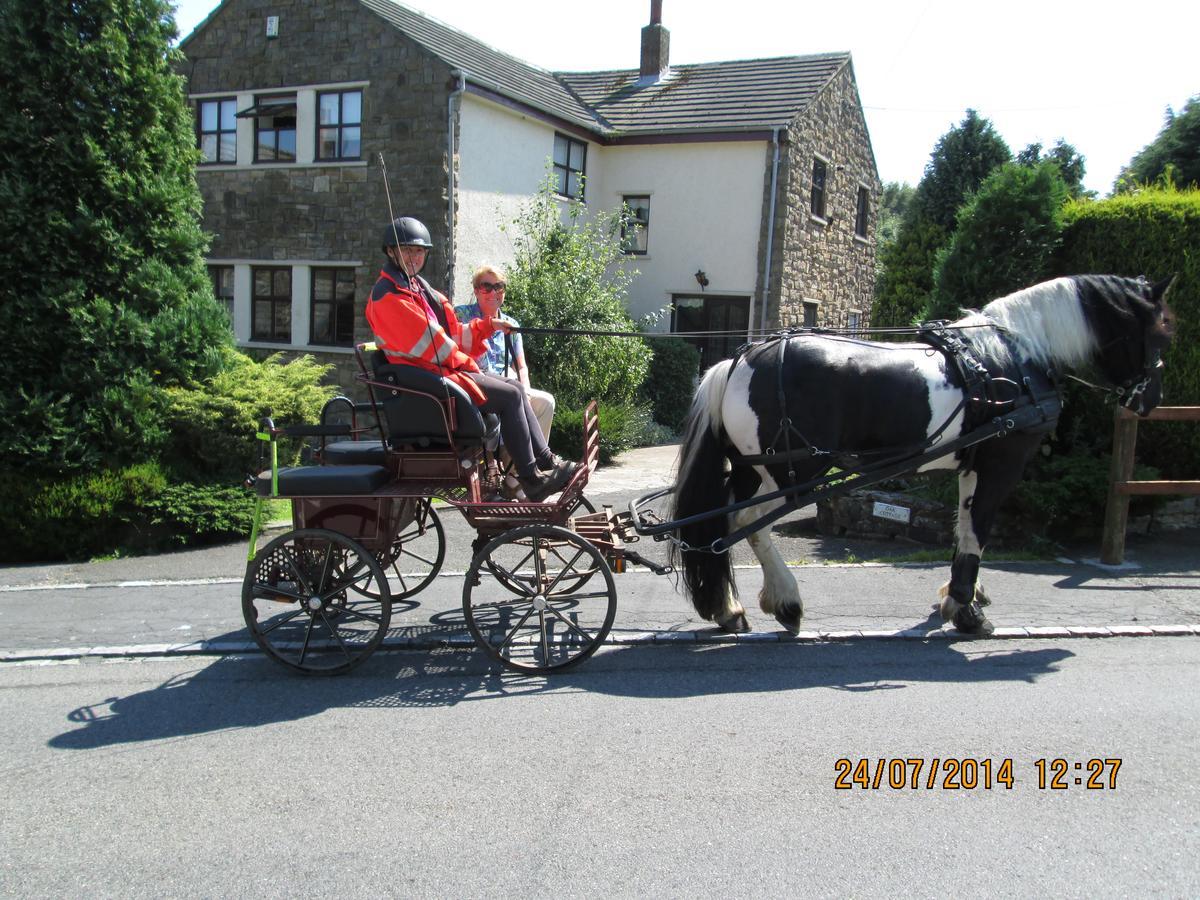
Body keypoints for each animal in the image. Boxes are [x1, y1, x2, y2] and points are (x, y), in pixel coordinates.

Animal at [672, 278, 1176, 638]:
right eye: (1161, 336)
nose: (1150, 400)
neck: (1011, 357)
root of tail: (740, 360)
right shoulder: (1002, 464)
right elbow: (979, 530)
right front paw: (967, 612)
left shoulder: (971, 466)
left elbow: (963, 528)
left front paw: (961, 597)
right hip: (792, 474)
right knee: (748, 524)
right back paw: (787, 602)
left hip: (751, 470)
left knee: (721, 526)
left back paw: (728, 608)